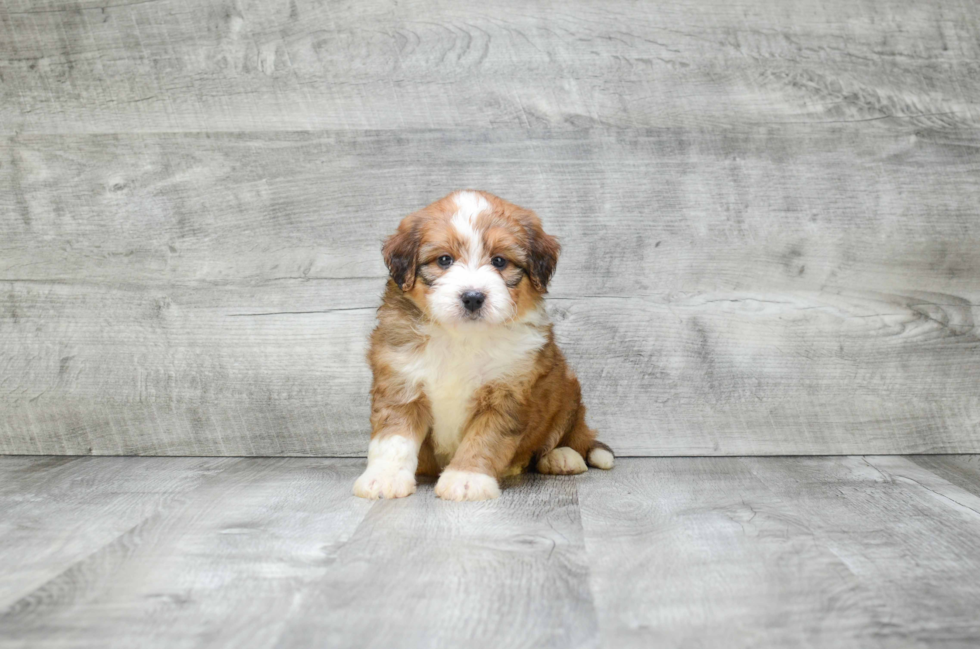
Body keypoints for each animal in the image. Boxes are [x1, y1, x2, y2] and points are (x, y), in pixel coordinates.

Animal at [352, 189, 612, 502]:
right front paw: (384, 478)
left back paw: (562, 456)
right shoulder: (400, 382)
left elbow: (484, 439)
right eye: (444, 260)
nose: (473, 297)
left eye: (499, 261)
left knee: (568, 437)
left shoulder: (507, 393)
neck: (461, 337)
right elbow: (394, 438)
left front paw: (466, 479)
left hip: (568, 393)